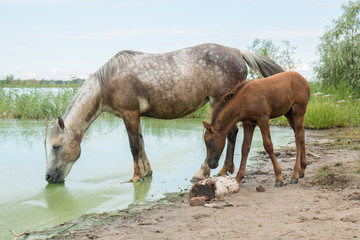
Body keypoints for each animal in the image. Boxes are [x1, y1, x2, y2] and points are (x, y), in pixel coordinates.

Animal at [45, 43, 284, 183]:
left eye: (56, 146)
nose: (48, 177)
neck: (109, 81)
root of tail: (238, 52)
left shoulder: (129, 114)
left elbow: (134, 146)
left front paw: (135, 177)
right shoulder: (136, 117)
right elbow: (141, 143)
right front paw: (147, 172)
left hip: (219, 101)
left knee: (228, 133)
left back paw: (206, 171)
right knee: (232, 133)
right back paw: (225, 169)